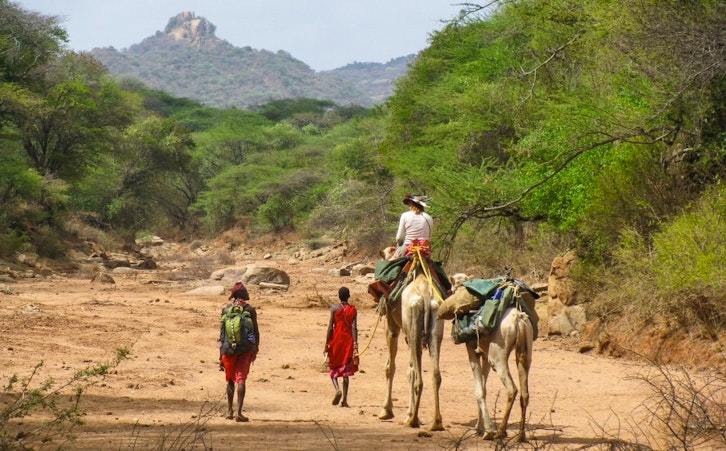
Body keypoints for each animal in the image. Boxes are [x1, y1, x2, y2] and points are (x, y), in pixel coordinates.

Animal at [377, 249, 444, 431]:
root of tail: (426, 296)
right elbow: (410, 370)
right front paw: (408, 412)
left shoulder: (392, 326)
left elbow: (390, 367)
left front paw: (386, 410)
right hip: (434, 326)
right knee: (435, 374)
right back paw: (436, 422)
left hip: (412, 325)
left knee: (419, 379)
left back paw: (413, 420)